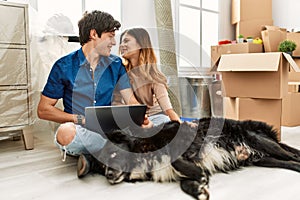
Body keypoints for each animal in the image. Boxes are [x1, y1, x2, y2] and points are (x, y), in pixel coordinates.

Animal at [94, 117, 300, 200]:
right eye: (102, 167)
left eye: (114, 155)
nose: (109, 176)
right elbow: (185, 183)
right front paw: (199, 189)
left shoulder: (185, 139)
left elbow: (175, 158)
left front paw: (199, 175)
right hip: (262, 159)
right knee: (288, 162)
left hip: (260, 142)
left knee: (292, 156)